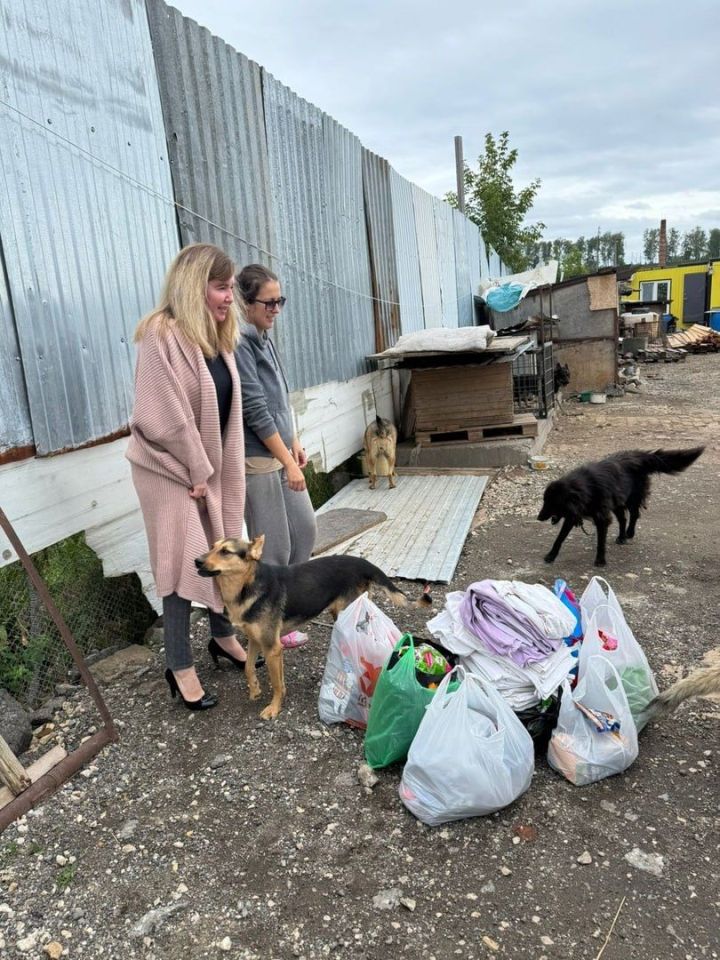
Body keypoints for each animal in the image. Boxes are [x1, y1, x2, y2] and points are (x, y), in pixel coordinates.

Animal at [194, 536, 430, 716]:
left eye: (225, 551)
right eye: (212, 546)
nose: (196, 561)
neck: (246, 585)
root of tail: (365, 563)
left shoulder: (272, 647)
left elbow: (276, 683)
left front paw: (274, 708)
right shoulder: (256, 641)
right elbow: (248, 667)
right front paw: (254, 690)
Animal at [540, 446, 704, 568]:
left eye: (553, 503)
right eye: (544, 501)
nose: (539, 517)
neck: (585, 488)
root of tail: (639, 455)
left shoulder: (602, 518)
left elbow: (601, 542)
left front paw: (600, 560)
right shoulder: (573, 515)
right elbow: (560, 537)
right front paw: (551, 555)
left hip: (631, 499)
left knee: (634, 515)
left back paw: (629, 533)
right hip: (617, 502)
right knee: (623, 519)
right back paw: (622, 536)